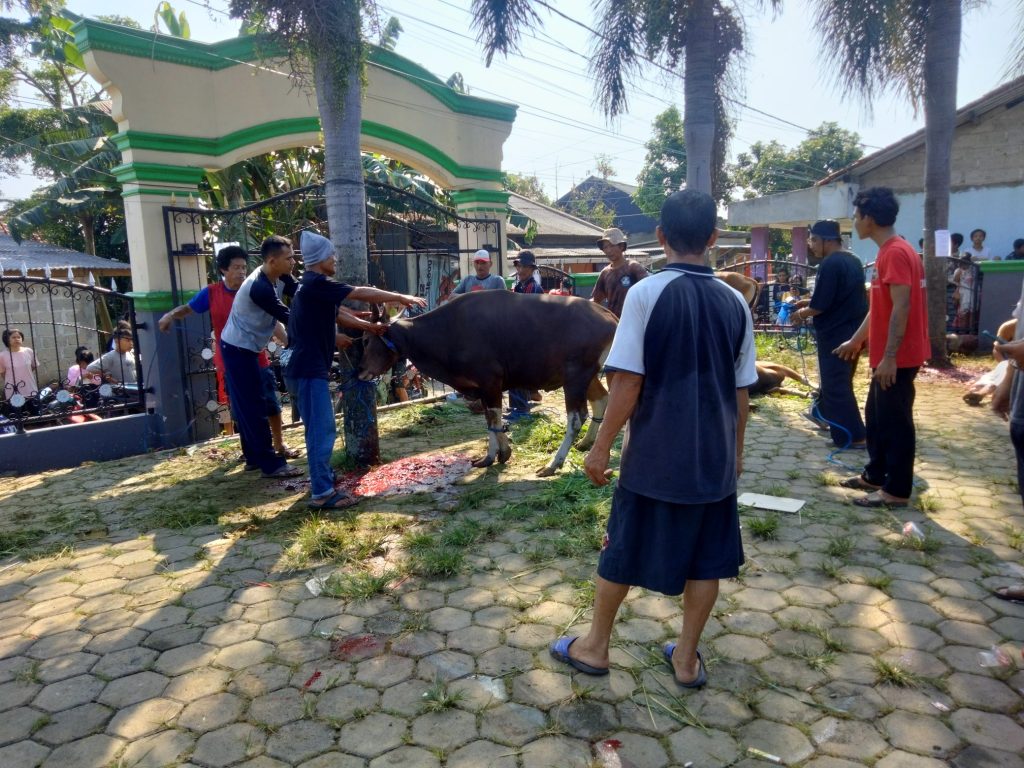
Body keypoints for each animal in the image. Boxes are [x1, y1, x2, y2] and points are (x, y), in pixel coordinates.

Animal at [360, 290, 614, 475]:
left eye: (367, 339)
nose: (361, 372)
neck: (447, 330)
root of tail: (610, 316)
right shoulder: (482, 388)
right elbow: (490, 419)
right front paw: (490, 456)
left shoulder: (491, 383)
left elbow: (494, 418)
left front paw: (503, 452)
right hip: (587, 376)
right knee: (602, 400)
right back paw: (586, 443)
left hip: (576, 377)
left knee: (576, 418)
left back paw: (553, 464)